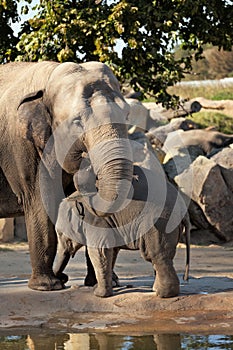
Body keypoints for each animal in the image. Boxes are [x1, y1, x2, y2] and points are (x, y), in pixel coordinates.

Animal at [0, 61, 134, 292]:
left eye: (126, 116)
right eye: (77, 121)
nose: (62, 277)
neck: (50, 78)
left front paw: (100, 282)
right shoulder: (23, 146)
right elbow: (40, 201)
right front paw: (48, 286)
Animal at [55, 165, 190, 298]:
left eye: (60, 234)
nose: (63, 279)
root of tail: (184, 211)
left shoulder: (97, 222)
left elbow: (98, 250)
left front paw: (98, 294)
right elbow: (111, 251)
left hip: (159, 225)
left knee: (156, 255)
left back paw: (162, 294)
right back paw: (156, 290)